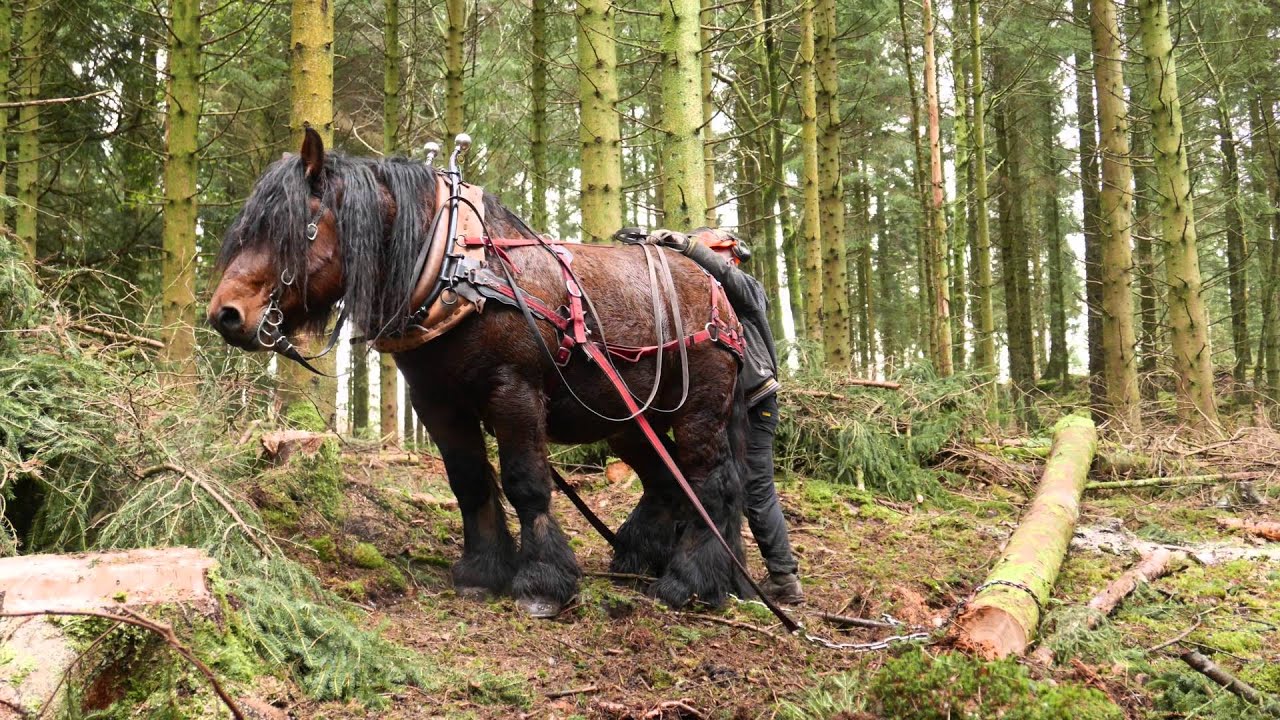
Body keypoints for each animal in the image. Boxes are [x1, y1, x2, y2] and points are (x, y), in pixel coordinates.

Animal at [208, 128, 751, 618]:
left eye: (290, 228)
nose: (224, 315)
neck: (458, 272)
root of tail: (715, 282)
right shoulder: (437, 402)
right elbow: (468, 481)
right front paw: (482, 571)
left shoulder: (514, 391)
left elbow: (525, 482)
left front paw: (542, 582)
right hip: (630, 420)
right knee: (666, 480)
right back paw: (649, 561)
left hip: (700, 407)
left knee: (711, 482)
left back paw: (692, 582)